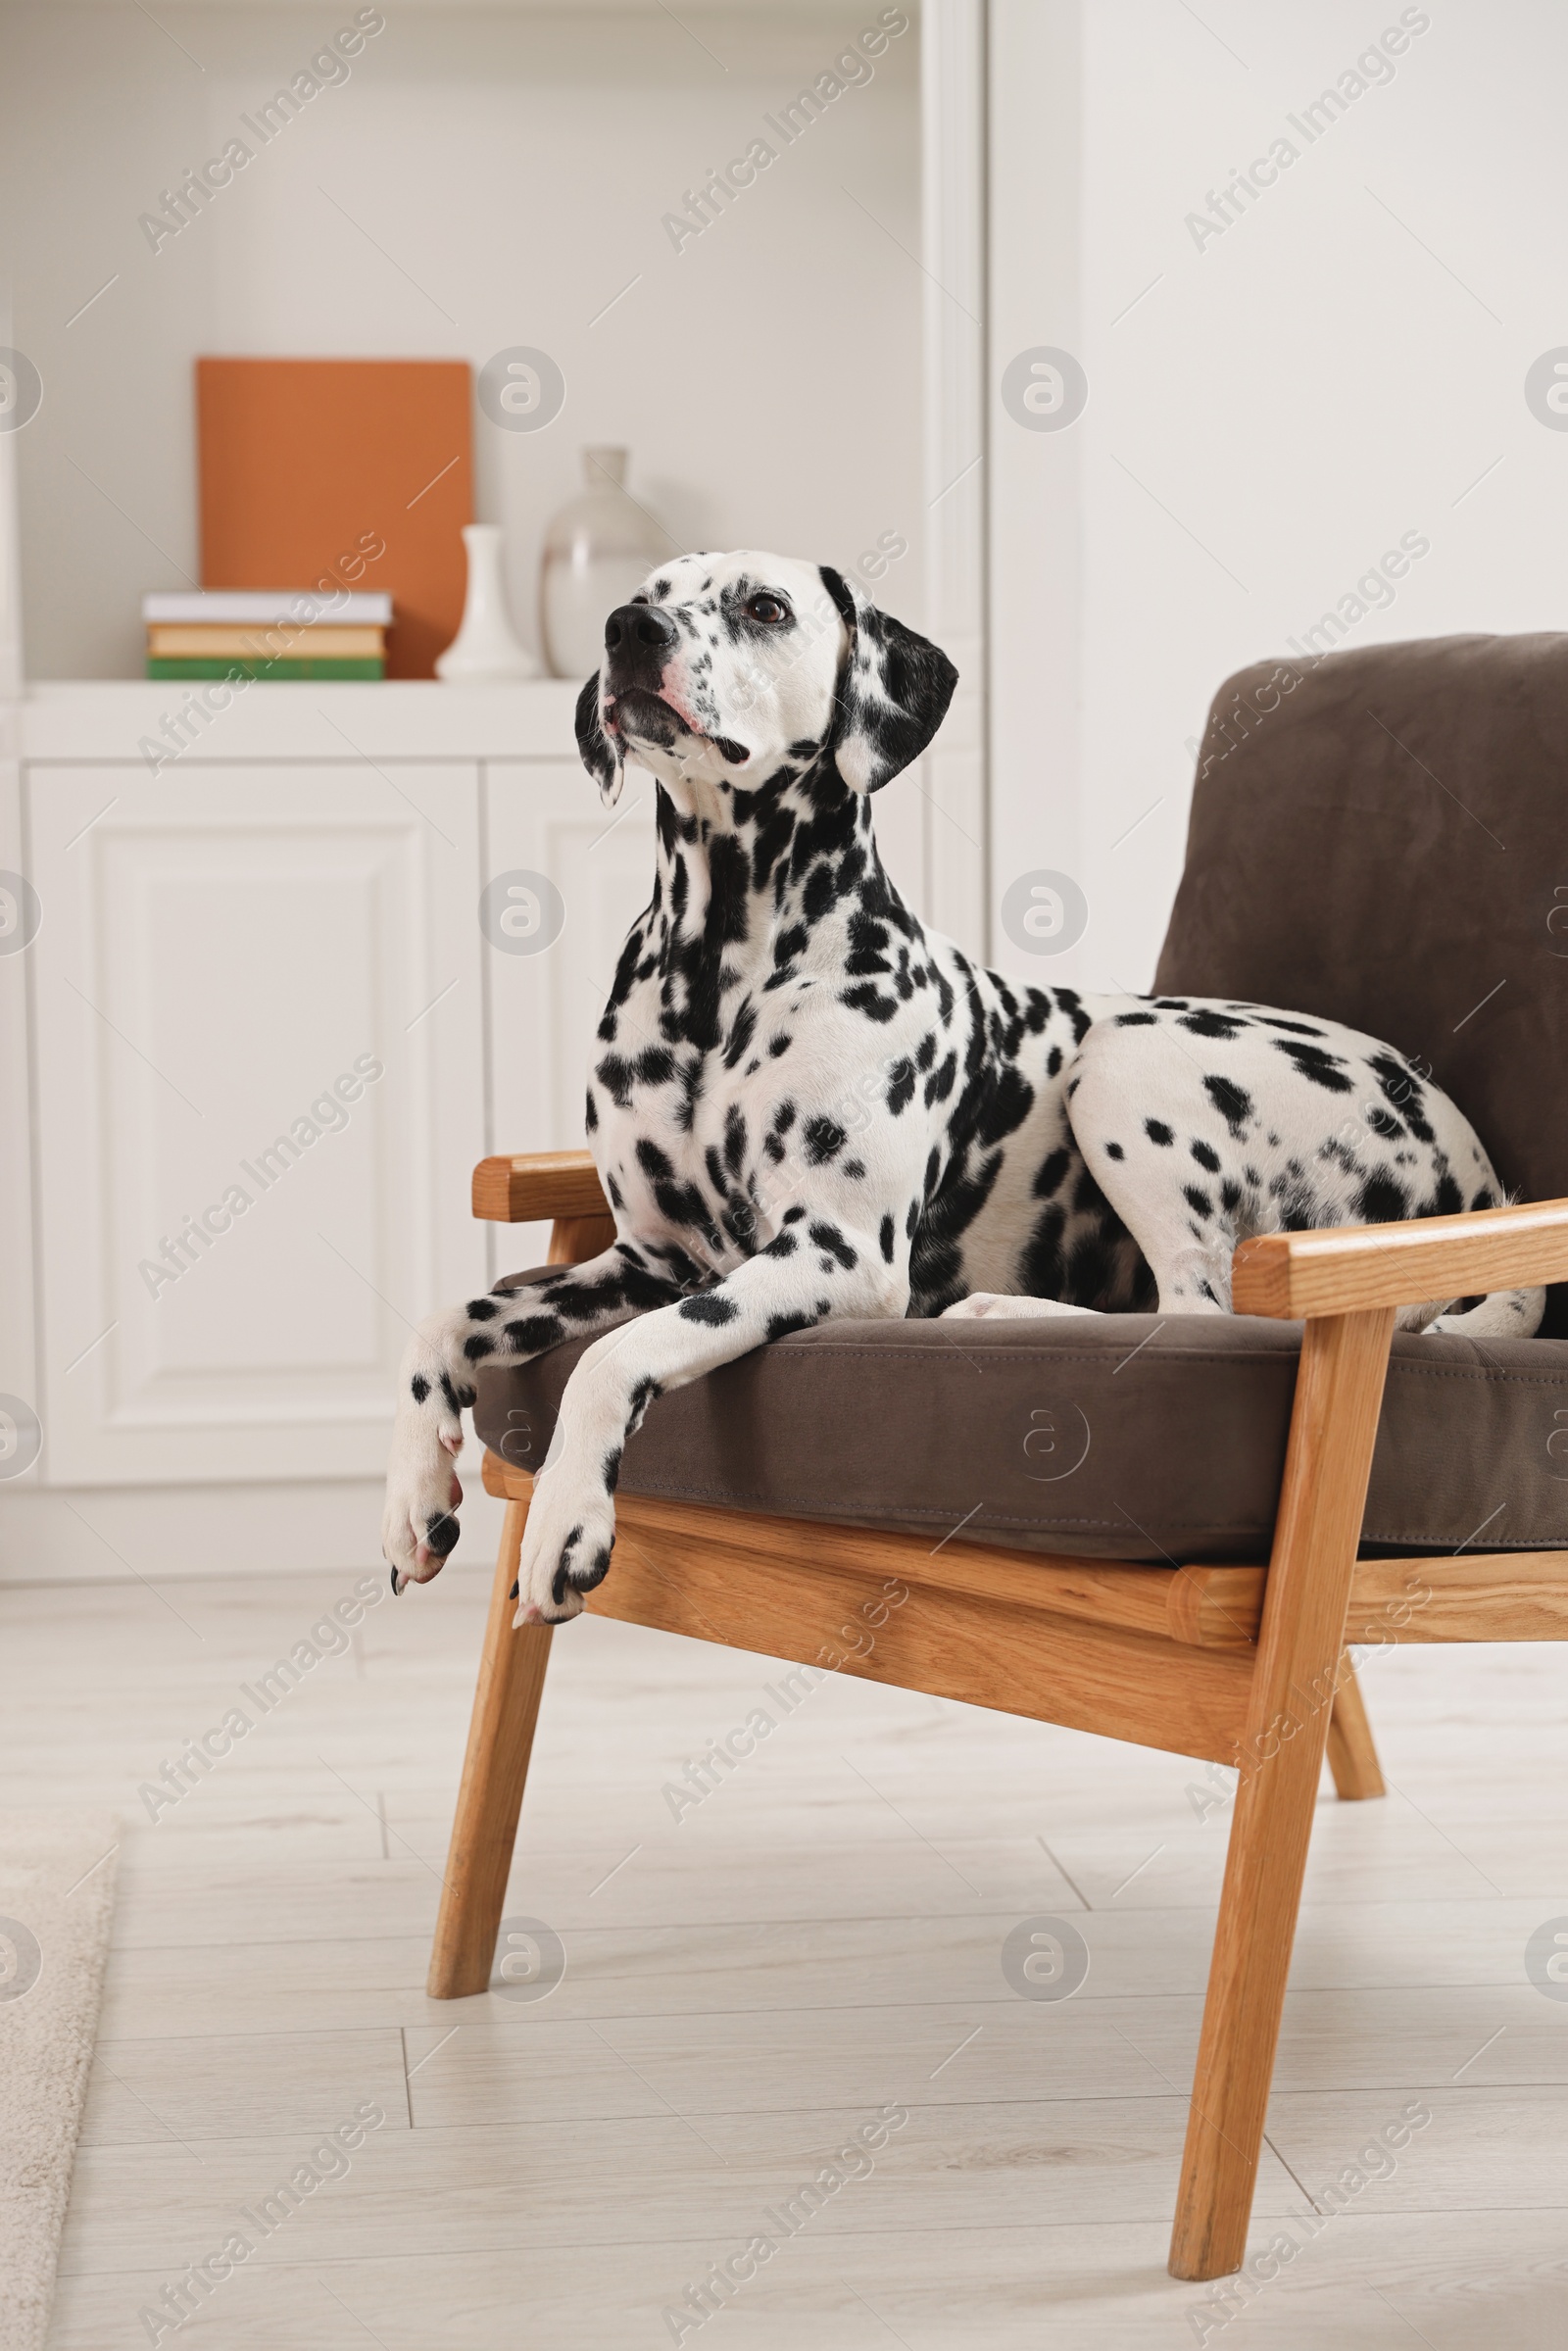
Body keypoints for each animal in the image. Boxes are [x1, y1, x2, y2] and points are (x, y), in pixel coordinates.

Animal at [383, 550, 1542, 1617]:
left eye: (764, 606)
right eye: (648, 590)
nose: (628, 630)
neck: (719, 971)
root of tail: (1480, 1172)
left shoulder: (835, 1254)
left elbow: (615, 1357)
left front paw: (566, 1520)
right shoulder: (647, 1257)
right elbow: (442, 1322)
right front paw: (413, 1495)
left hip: (1124, 1061)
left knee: (1201, 1307)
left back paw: (1003, 1309)